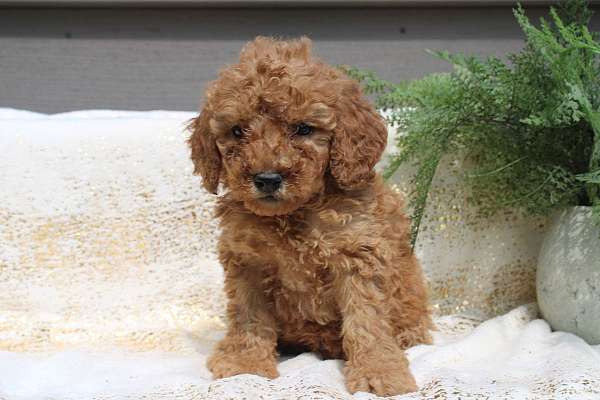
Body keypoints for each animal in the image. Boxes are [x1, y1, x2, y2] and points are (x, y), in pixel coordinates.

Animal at [188, 36, 432, 396]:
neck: (293, 215)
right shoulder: (247, 261)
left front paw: (378, 372)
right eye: (237, 131)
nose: (267, 178)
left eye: (303, 129)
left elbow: (367, 321)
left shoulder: (359, 256)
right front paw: (246, 362)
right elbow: (248, 314)